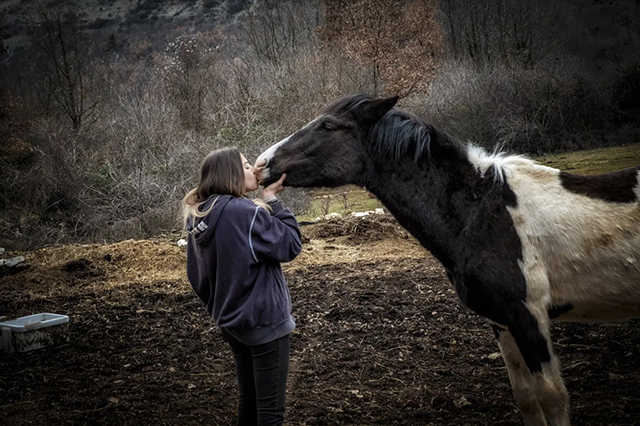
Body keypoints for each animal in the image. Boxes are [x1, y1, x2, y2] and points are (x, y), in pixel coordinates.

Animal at [255, 94, 640, 426]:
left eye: (328, 126)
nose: (261, 164)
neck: (481, 211)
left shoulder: (529, 316)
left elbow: (552, 397)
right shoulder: (502, 322)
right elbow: (527, 398)